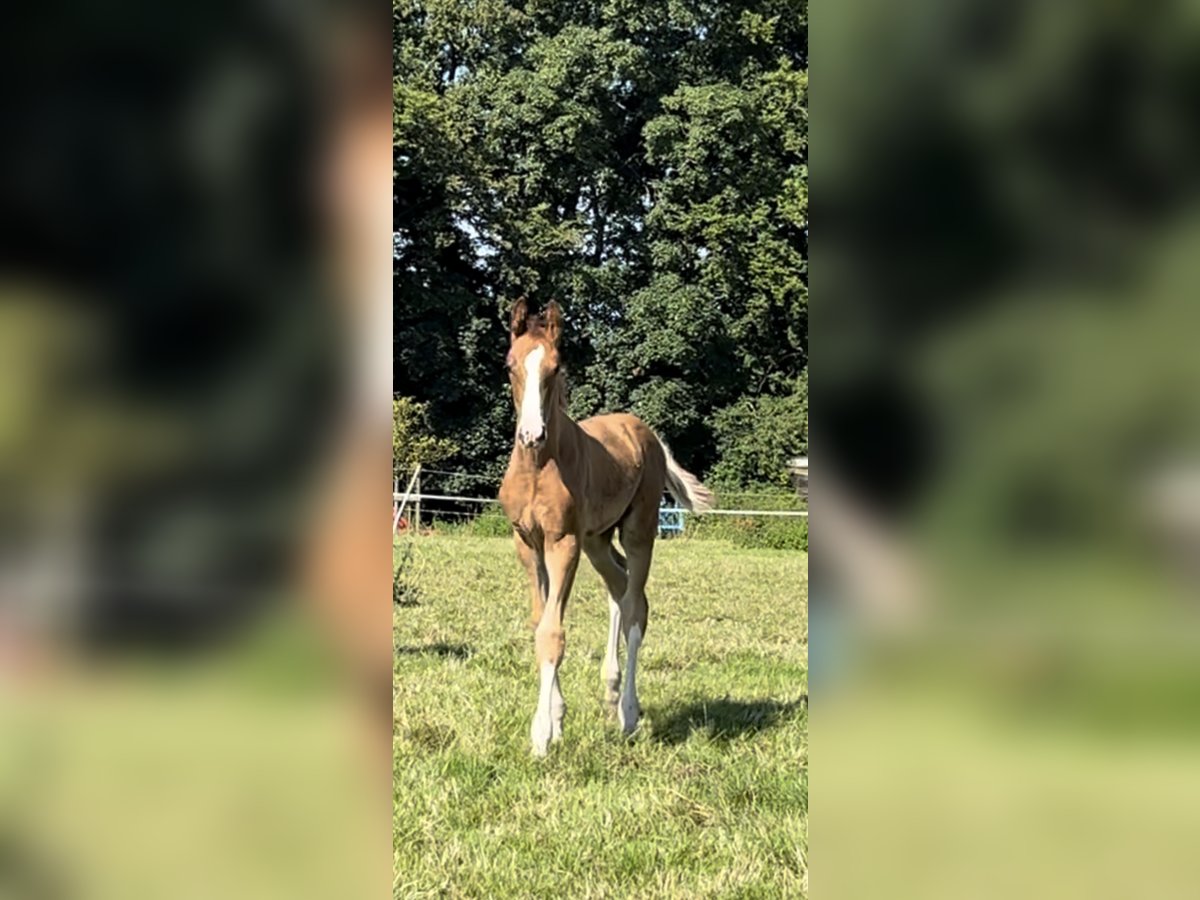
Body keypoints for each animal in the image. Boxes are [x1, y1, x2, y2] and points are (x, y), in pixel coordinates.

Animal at [496, 300, 710, 758]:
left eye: (556, 367)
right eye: (510, 365)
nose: (531, 434)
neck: (539, 467)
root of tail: (647, 432)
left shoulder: (564, 542)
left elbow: (553, 632)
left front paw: (541, 736)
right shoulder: (527, 543)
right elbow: (541, 621)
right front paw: (557, 720)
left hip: (638, 530)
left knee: (634, 607)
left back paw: (628, 714)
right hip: (598, 540)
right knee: (620, 586)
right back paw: (611, 695)